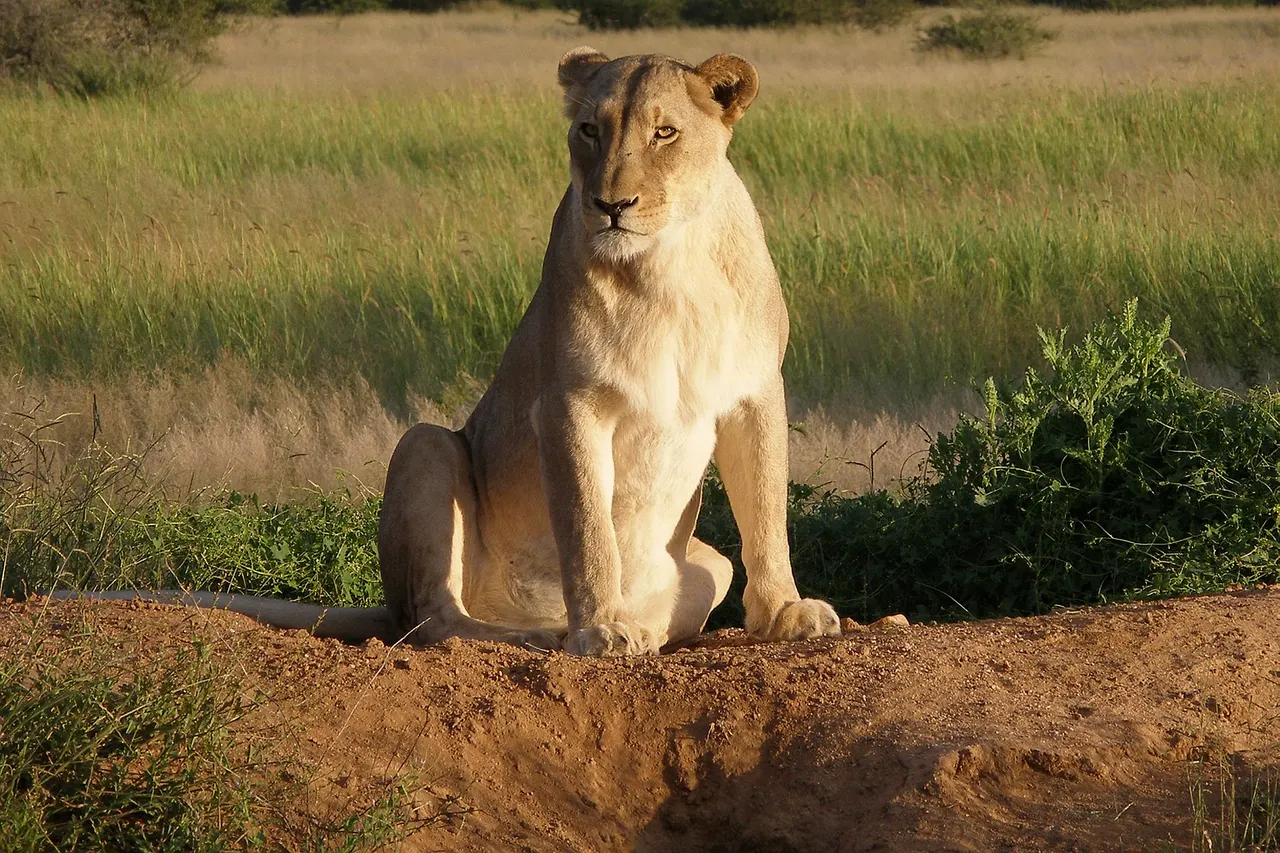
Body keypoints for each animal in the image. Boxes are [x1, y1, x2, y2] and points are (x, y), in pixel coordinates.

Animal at [53, 48, 841, 657]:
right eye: (589, 130)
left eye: (665, 132)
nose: (610, 205)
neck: (671, 262)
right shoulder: (566, 403)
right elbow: (588, 526)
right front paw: (603, 630)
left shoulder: (754, 389)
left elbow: (767, 510)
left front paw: (785, 613)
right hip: (426, 445)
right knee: (432, 621)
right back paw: (546, 633)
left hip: (706, 561)